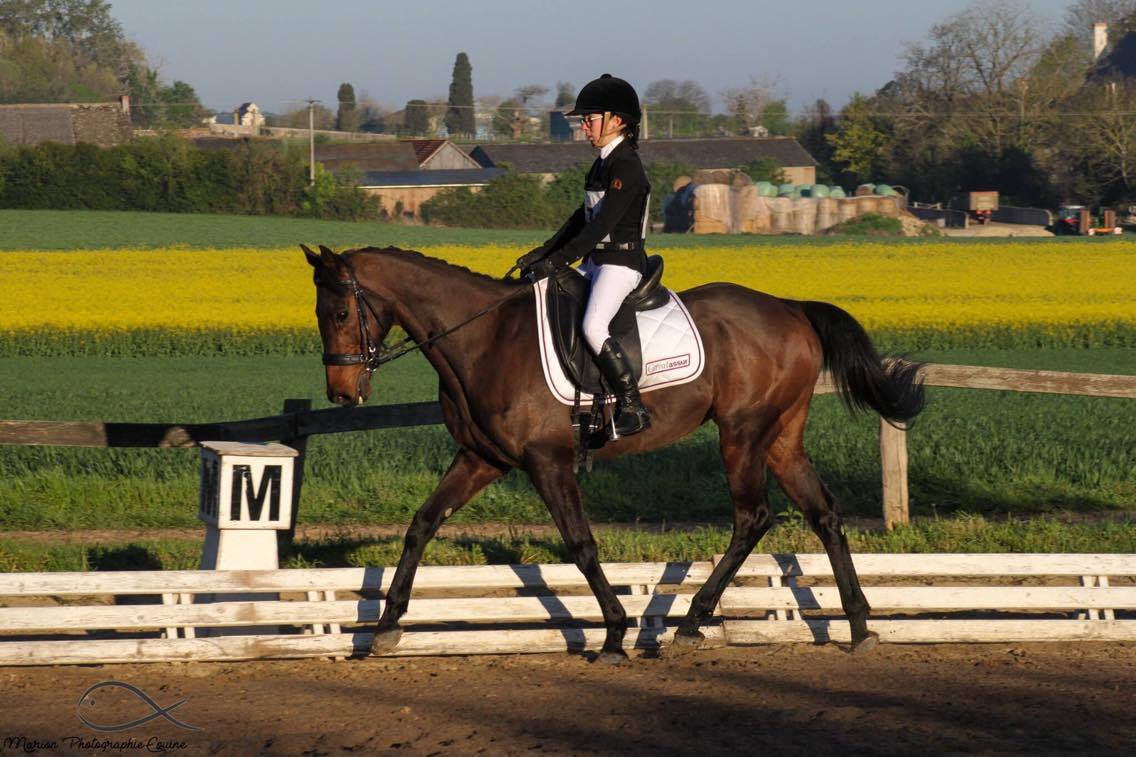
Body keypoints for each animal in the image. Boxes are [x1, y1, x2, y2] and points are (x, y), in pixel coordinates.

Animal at [302, 243, 922, 659]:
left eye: (341, 313)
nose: (342, 393)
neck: (483, 340)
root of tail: (790, 308)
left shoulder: (547, 462)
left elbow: (581, 545)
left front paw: (617, 633)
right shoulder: (481, 459)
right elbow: (422, 524)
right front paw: (386, 627)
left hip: (742, 433)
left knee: (753, 517)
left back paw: (690, 625)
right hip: (781, 438)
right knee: (823, 513)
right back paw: (860, 627)